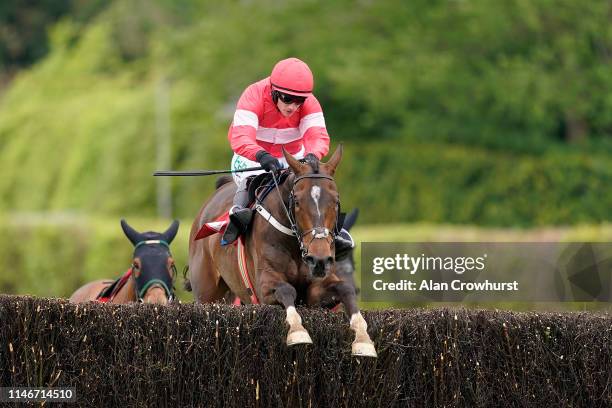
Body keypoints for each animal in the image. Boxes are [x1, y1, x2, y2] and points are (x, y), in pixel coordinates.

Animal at [188, 147, 378, 356]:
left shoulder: (315, 291)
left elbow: (345, 289)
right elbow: (287, 290)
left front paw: (364, 339)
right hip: (208, 294)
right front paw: (297, 331)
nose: (318, 259)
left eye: (336, 201)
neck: (295, 245)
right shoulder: (264, 287)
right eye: (297, 201)